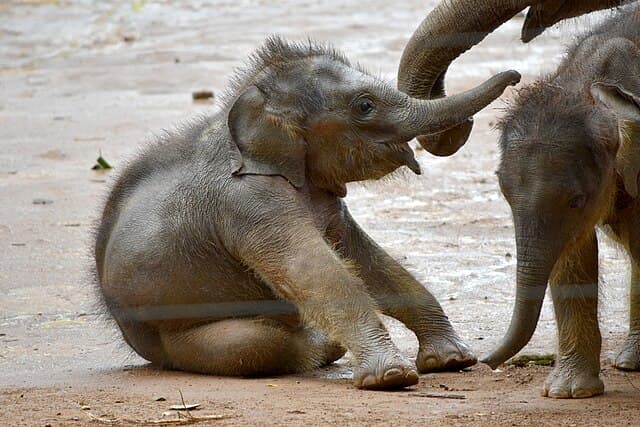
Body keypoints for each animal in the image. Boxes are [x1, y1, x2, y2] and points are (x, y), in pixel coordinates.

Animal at [94, 36, 521, 390]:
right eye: (365, 106)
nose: (516, 75)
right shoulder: (249, 203)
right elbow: (313, 271)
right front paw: (391, 378)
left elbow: (365, 259)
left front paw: (452, 361)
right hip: (174, 338)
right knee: (255, 344)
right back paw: (321, 345)